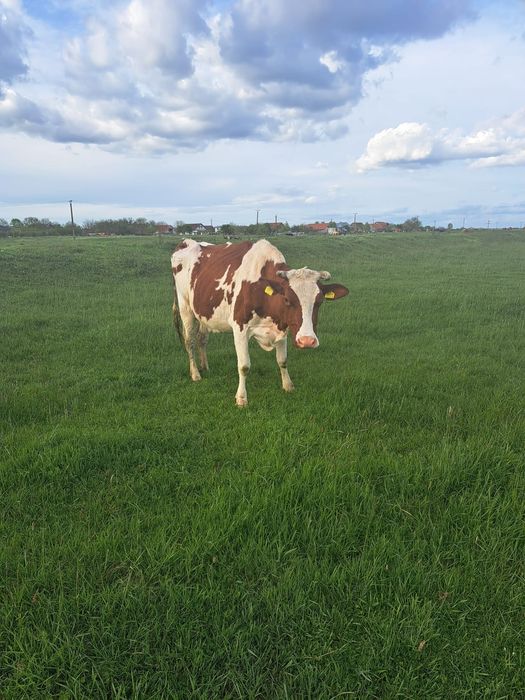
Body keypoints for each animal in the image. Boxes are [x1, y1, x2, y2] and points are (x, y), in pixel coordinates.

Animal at [171, 238, 349, 406]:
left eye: (320, 301)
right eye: (286, 299)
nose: (307, 341)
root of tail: (187, 242)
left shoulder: (282, 327)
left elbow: (282, 360)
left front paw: (288, 386)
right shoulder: (239, 327)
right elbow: (244, 366)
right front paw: (241, 398)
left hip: (203, 313)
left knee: (202, 339)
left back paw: (205, 366)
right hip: (185, 307)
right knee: (189, 341)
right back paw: (195, 373)